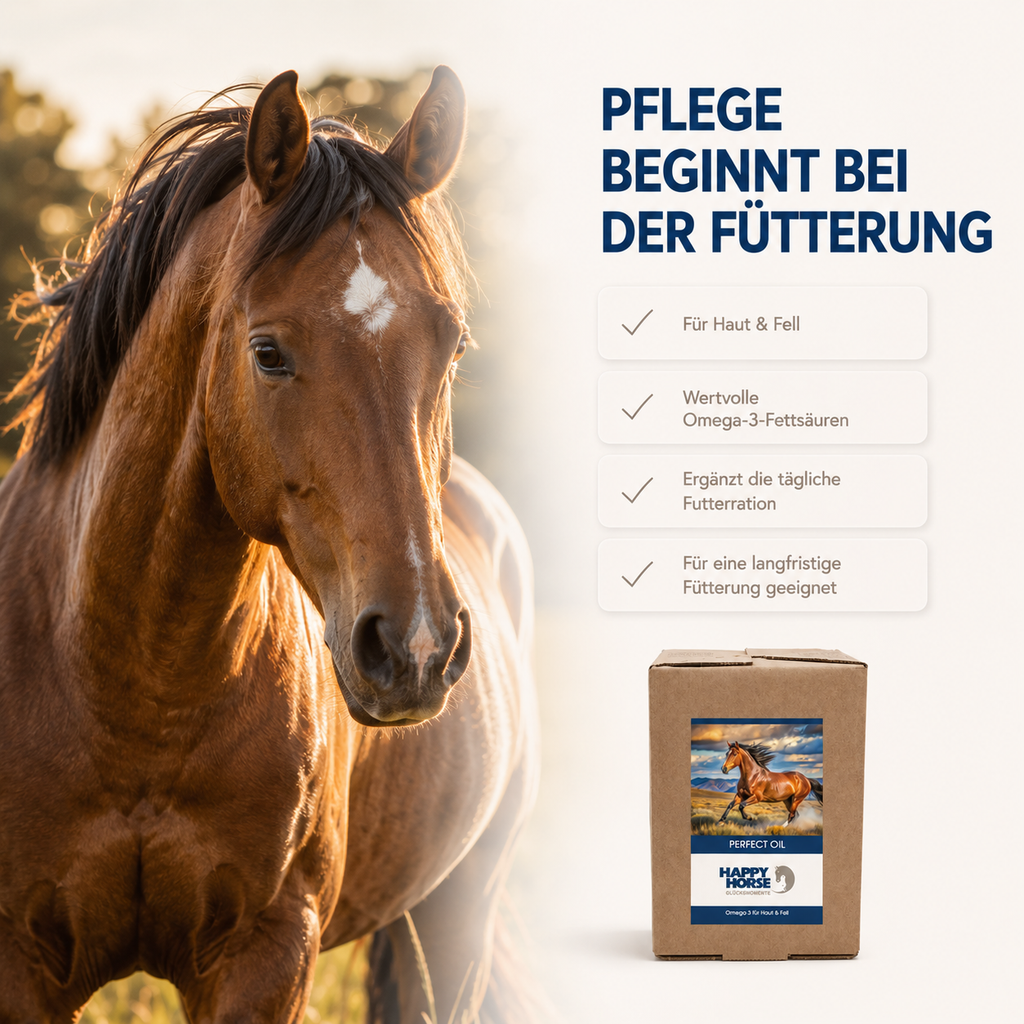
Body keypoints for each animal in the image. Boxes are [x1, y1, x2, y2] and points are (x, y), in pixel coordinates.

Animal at [0, 67, 538, 1024]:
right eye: (268, 352)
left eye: (452, 346)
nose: (416, 648)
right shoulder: (18, 961)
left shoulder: (268, 952)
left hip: (456, 917)